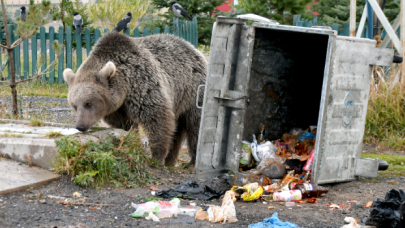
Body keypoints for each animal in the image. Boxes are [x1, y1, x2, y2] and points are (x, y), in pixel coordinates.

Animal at [64, 32, 207, 167]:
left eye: (88, 103)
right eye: (74, 105)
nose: (80, 126)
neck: (125, 86)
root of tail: (192, 47)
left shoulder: (142, 84)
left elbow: (157, 118)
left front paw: (157, 157)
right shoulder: (117, 109)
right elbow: (125, 125)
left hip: (192, 90)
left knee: (196, 125)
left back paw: (191, 161)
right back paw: (170, 160)